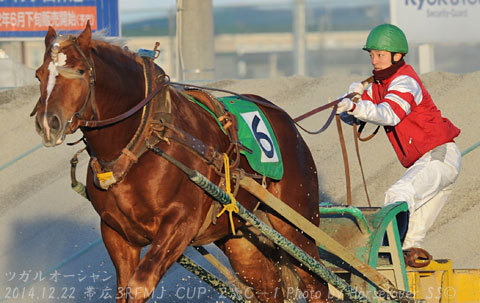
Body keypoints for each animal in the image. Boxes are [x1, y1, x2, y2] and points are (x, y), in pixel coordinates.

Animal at [31, 22, 328, 302]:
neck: (142, 141)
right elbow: (124, 289)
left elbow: (139, 286)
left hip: (295, 223)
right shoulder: (116, 233)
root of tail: (287, 121)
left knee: (317, 282)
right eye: (39, 73)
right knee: (268, 285)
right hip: (239, 237)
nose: (48, 123)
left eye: (80, 70)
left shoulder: (180, 223)